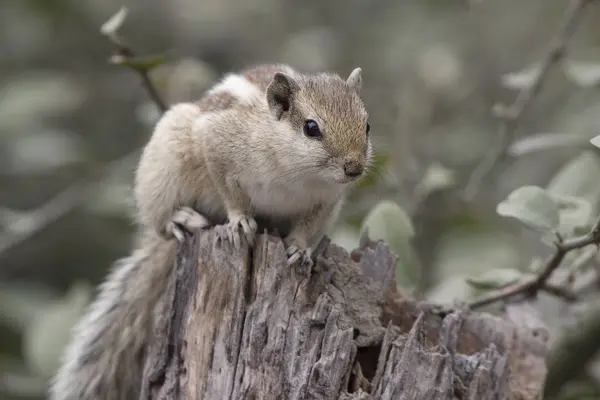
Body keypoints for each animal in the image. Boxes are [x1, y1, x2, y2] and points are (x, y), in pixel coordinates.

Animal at [49, 63, 372, 400]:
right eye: (311, 128)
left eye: (367, 126)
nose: (354, 168)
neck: (299, 174)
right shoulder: (218, 143)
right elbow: (229, 190)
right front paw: (240, 222)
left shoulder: (326, 203)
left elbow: (307, 228)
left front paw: (301, 250)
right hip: (164, 165)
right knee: (160, 222)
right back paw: (179, 220)